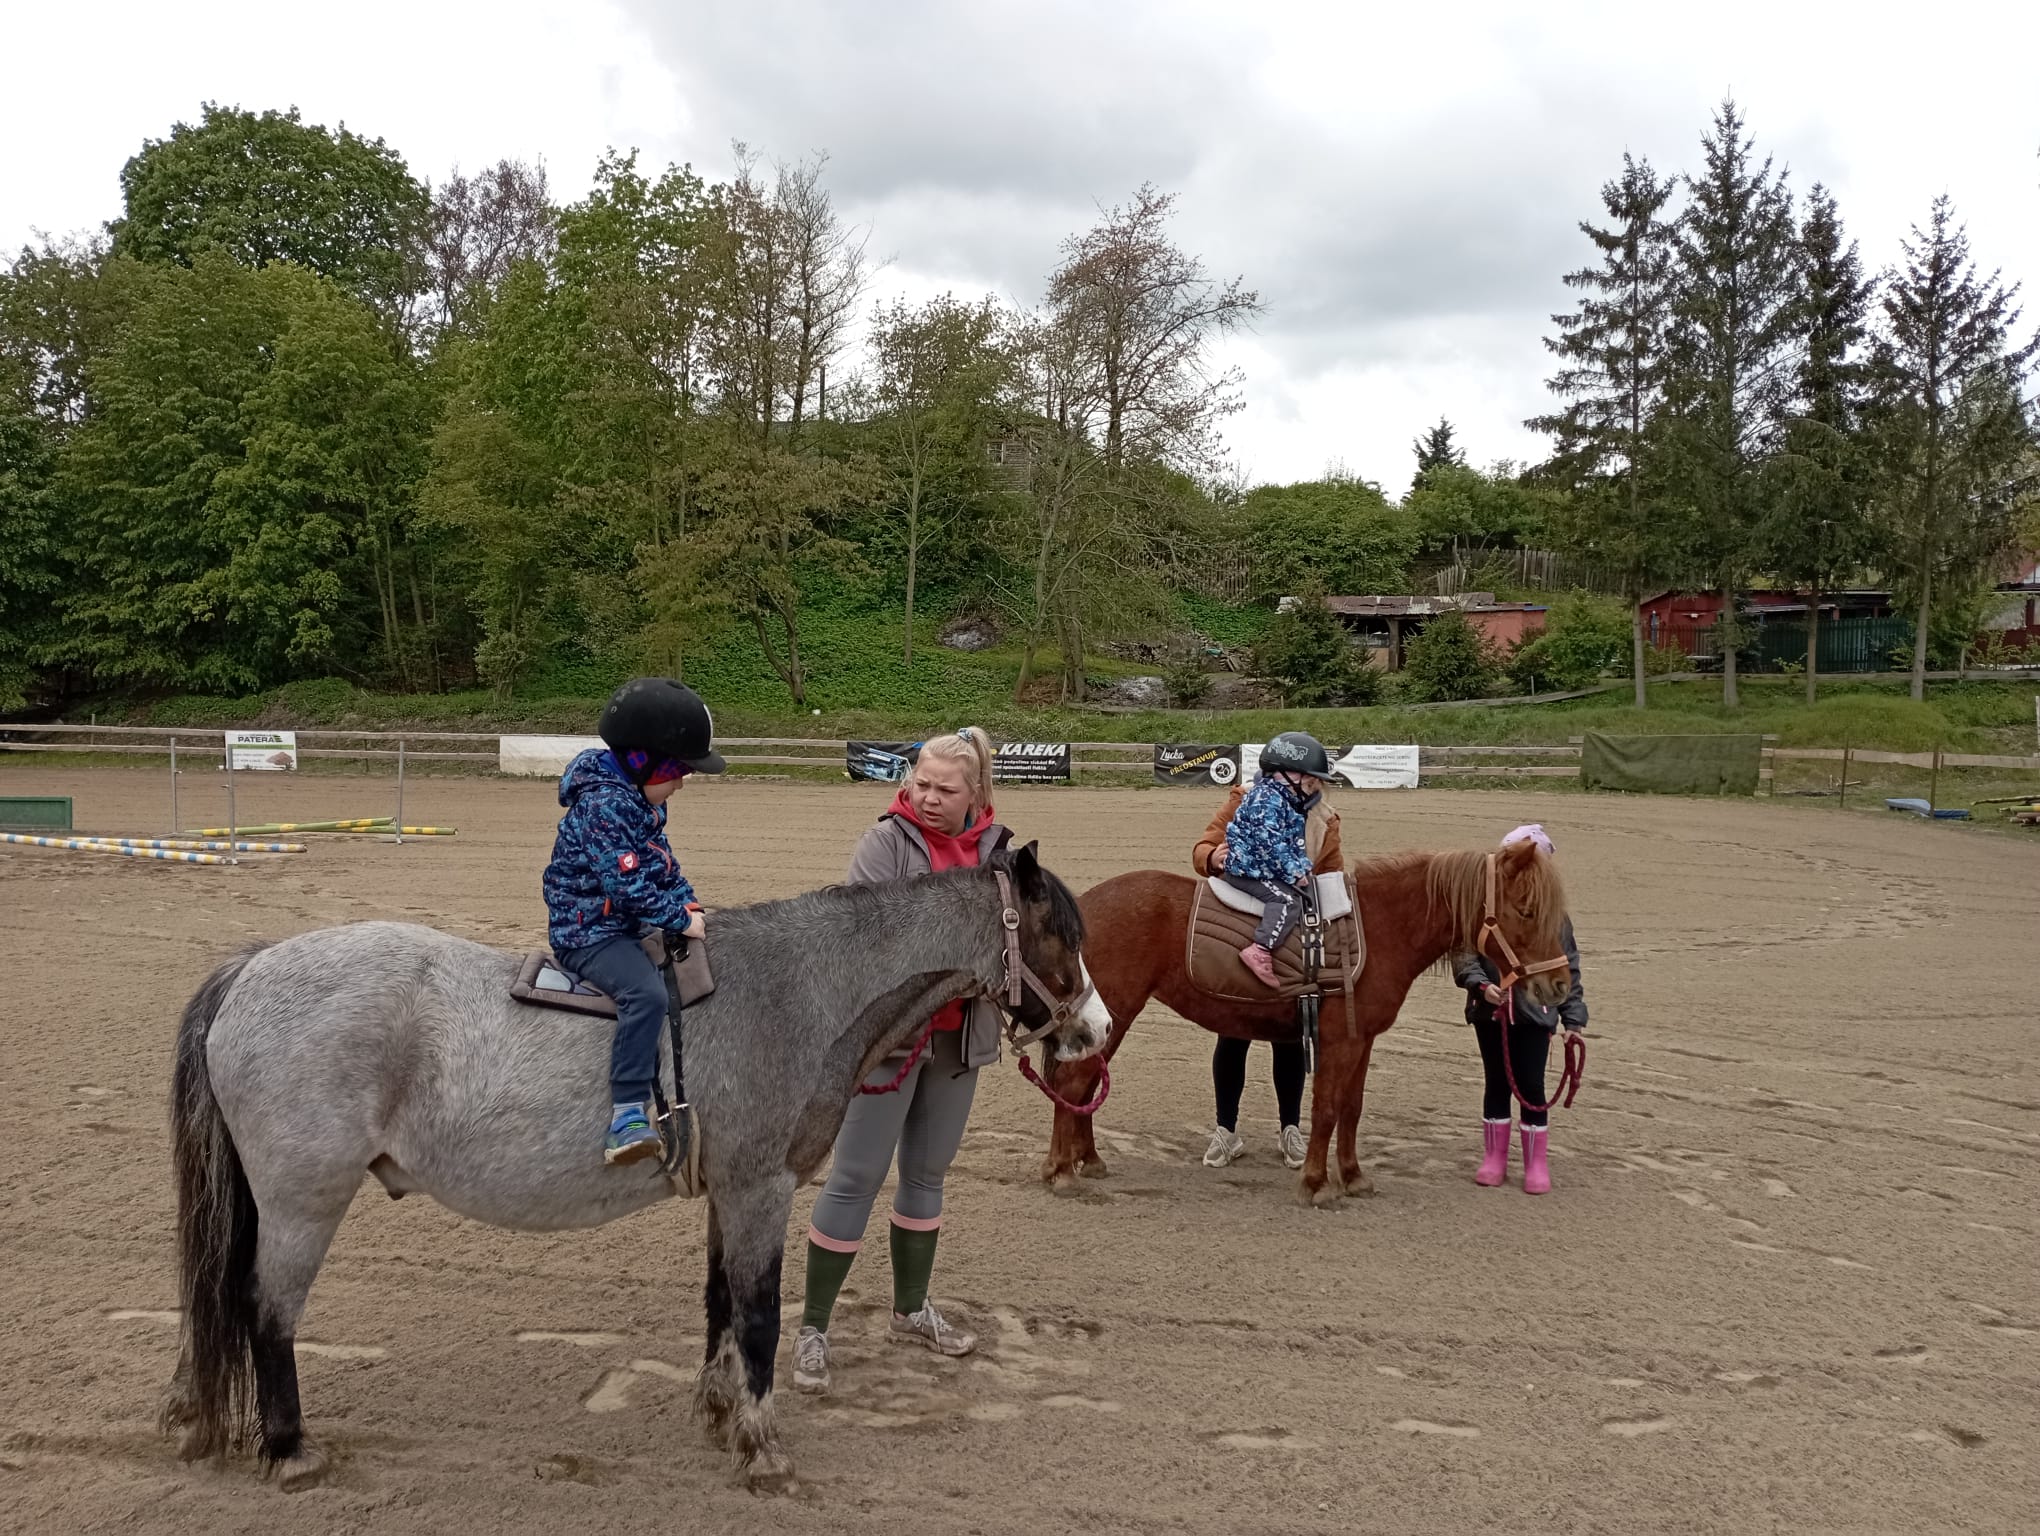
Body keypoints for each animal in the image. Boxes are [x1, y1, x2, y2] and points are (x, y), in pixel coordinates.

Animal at [159, 844, 1109, 1493]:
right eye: (1060, 935)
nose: (1095, 1031)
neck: (798, 989)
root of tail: (251, 969)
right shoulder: (760, 1190)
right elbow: (759, 1317)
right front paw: (763, 1448)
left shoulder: (730, 1194)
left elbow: (720, 1302)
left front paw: (719, 1414)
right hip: (303, 1202)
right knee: (267, 1310)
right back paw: (290, 1449)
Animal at [1044, 844, 1566, 1207]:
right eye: (1526, 910)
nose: (1559, 985)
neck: (1380, 928)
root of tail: (1082, 909)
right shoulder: (1340, 1042)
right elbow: (1327, 1110)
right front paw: (1316, 1183)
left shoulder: (1362, 1041)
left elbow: (1351, 1109)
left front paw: (1352, 1177)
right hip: (1116, 1013)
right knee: (1072, 1084)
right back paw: (1061, 1170)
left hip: (1109, 1023)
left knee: (1082, 1088)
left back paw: (1087, 1161)